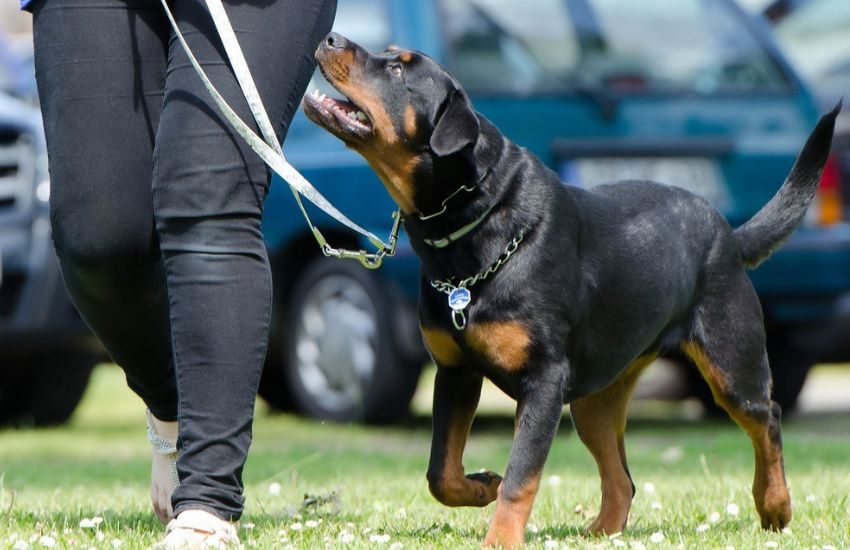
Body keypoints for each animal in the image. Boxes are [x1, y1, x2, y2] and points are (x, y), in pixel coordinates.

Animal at [302, 32, 840, 548]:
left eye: (397, 69)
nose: (331, 37)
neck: (471, 225)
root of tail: (729, 233)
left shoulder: (544, 382)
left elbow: (522, 476)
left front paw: (500, 538)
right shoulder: (455, 371)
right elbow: (441, 472)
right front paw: (482, 485)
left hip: (731, 361)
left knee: (767, 419)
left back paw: (774, 506)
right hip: (595, 398)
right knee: (622, 478)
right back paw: (601, 531)